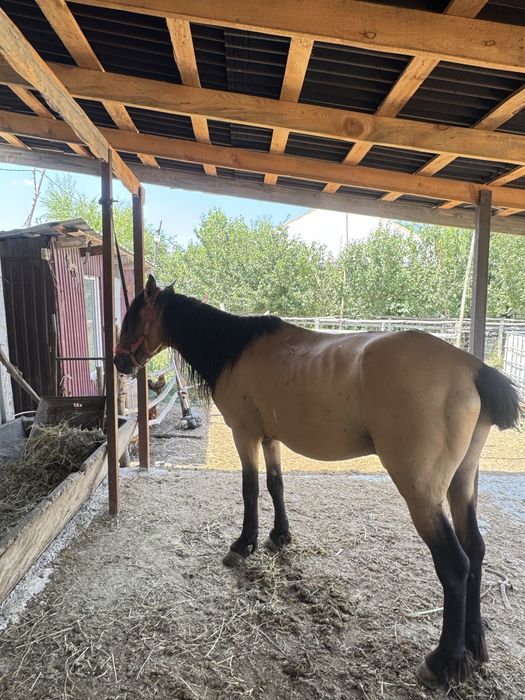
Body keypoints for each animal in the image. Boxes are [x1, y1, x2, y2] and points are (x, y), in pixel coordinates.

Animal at [114, 275, 520, 689]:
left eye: (132, 317)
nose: (119, 362)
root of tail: (473, 369)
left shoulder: (245, 434)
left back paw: (443, 662)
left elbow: (249, 489)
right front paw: (279, 535)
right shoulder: (270, 437)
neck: (235, 349)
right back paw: (475, 646)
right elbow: (275, 484)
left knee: (455, 564)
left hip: (422, 494)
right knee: (475, 550)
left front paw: (244, 544)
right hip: (462, 483)